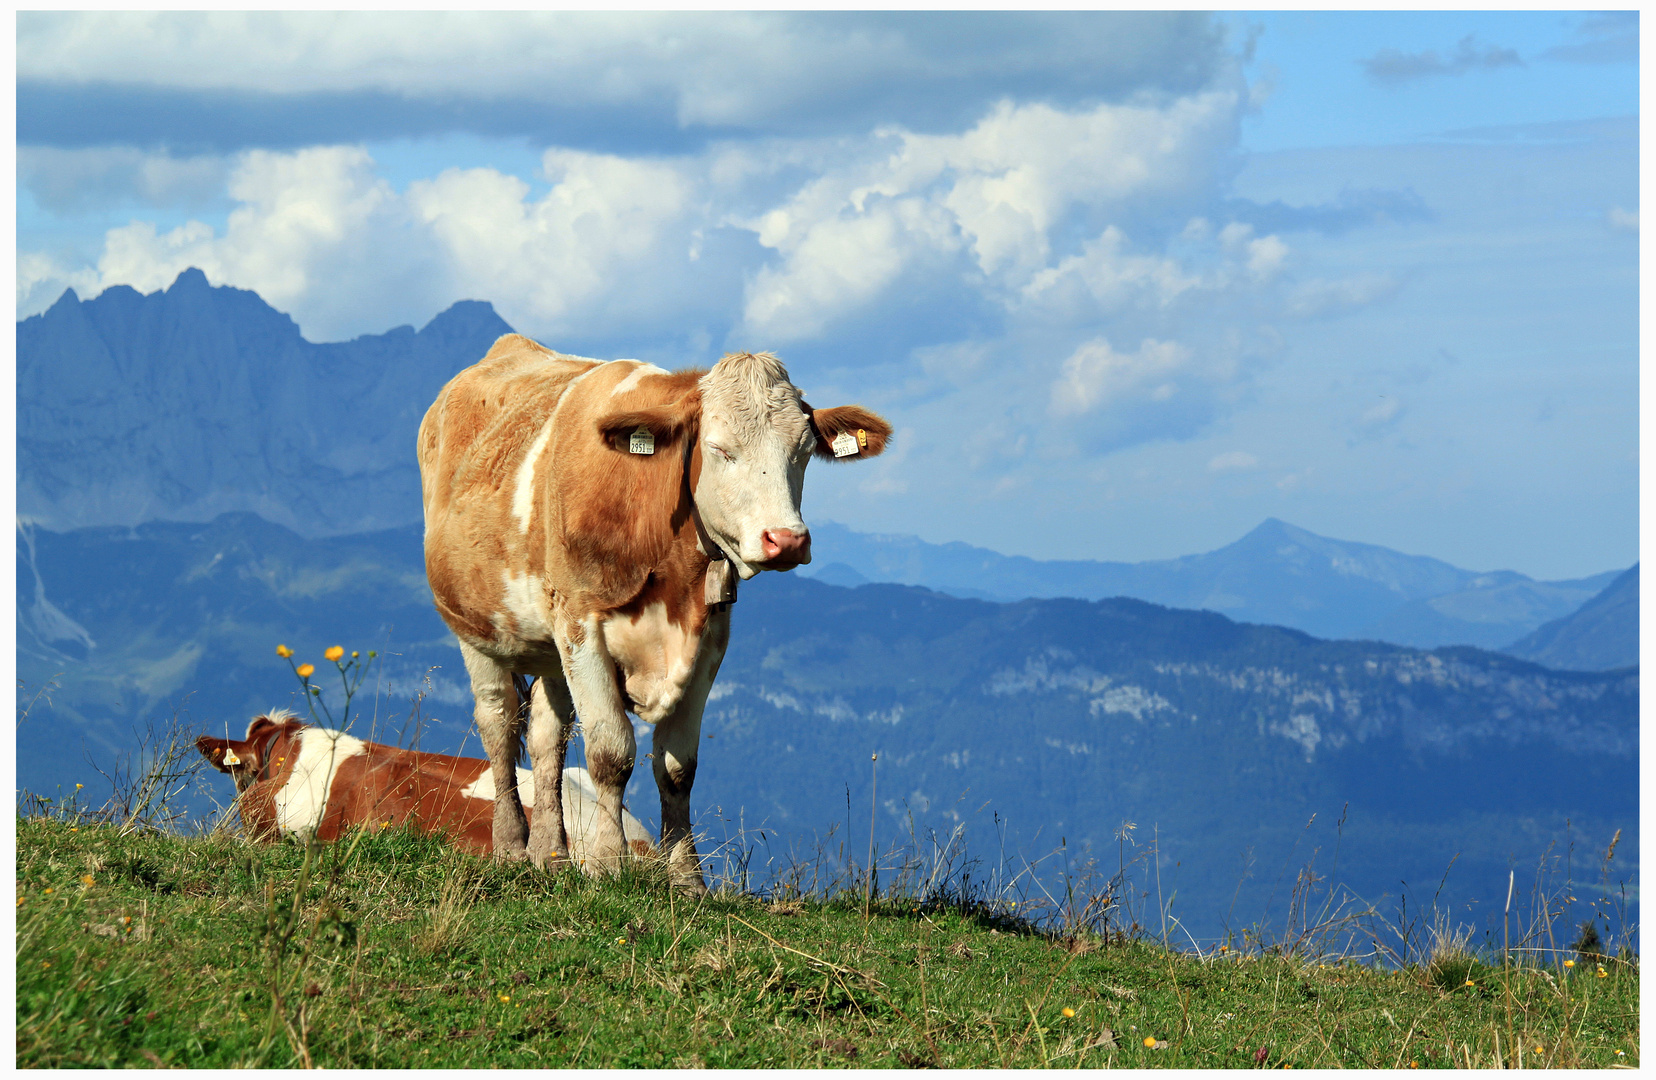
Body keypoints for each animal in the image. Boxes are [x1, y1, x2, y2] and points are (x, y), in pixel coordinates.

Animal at [417, 332, 894, 887]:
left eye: (803, 451)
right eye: (719, 449)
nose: (787, 540)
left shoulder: (711, 637)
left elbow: (677, 765)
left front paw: (686, 877)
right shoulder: (581, 623)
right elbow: (610, 752)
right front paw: (609, 863)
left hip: (550, 649)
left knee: (545, 736)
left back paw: (551, 854)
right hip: (476, 628)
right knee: (499, 724)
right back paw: (513, 846)